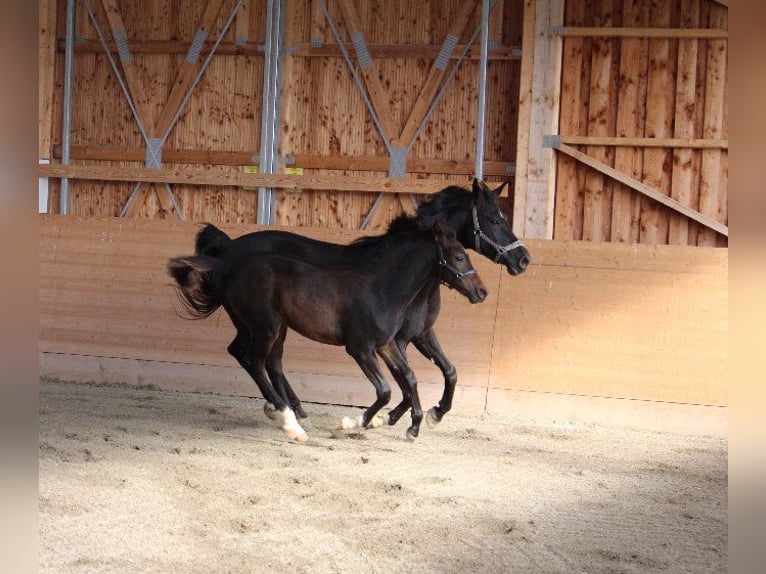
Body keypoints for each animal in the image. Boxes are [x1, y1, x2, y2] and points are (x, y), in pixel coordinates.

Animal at [168, 218, 488, 442]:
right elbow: (385, 390)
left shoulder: (387, 345)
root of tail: (227, 263)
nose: (482, 292)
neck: (383, 289)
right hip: (266, 326)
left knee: (258, 359)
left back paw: (288, 413)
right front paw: (353, 424)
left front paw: (413, 427)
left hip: (266, 326)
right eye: (459, 257)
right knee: (255, 361)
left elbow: (410, 379)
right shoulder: (360, 349)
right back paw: (290, 422)